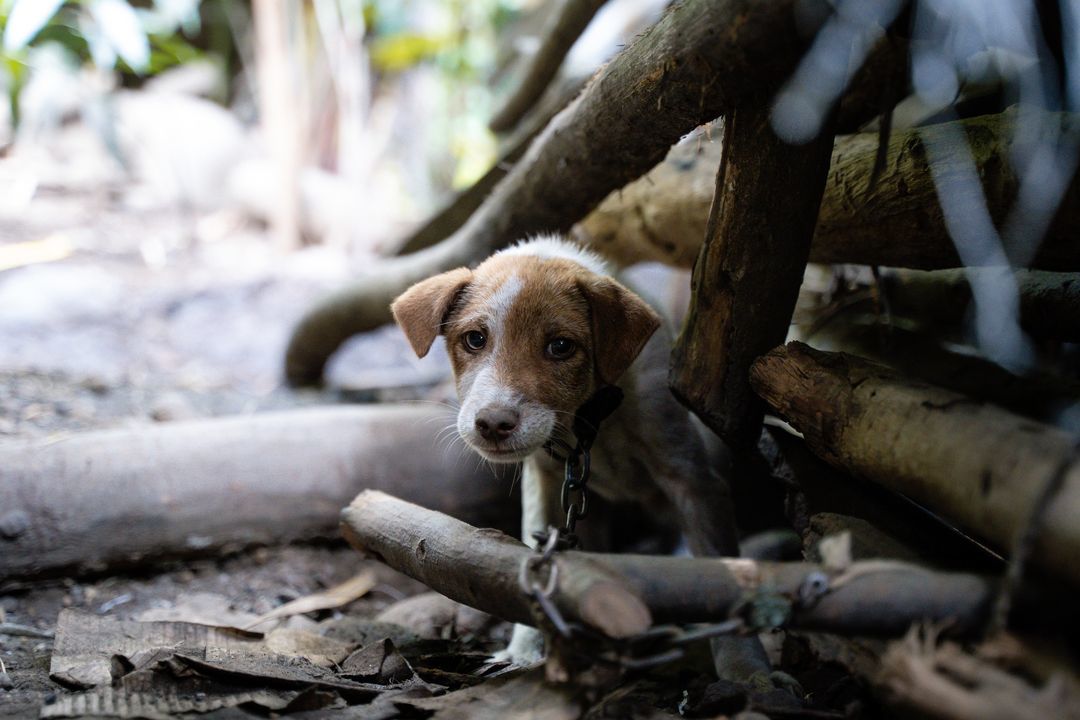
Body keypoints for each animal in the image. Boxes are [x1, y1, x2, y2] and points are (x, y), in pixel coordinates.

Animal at [388, 237, 768, 682]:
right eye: (475, 339)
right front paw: (524, 650)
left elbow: (721, 572)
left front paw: (747, 670)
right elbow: (530, 565)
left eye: (561, 346)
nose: (493, 424)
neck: (590, 425)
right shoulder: (546, 483)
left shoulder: (692, 478)